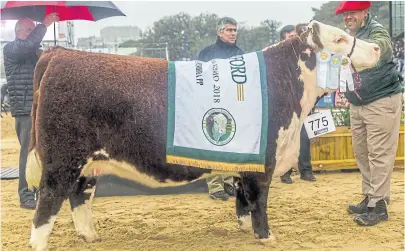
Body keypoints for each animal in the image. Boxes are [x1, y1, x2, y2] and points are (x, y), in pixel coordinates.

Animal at [24, 20, 378, 250]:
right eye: (339, 39)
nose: (376, 46)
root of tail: (61, 53)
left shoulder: (245, 158)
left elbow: (242, 199)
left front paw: (244, 228)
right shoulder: (263, 159)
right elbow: (259, 199)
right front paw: (266, 236)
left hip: (89, 162)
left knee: (80, 194)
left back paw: (90, 237)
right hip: (61, 160)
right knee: (47, 203)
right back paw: (41, 243)